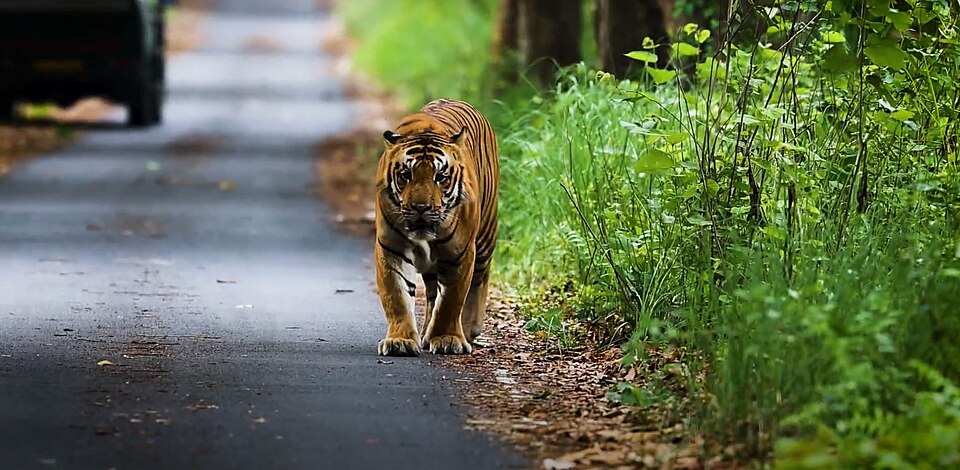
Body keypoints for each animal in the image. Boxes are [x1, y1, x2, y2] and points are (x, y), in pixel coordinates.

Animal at [374, 99, 499, 356]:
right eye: (406, 175)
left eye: (440, 177)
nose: (421, 207)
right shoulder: (390, 249)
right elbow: (396, 297)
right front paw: (400, 341)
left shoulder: (460, 253)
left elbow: (452, 300)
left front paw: (447, 339)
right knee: (432, 292)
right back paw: (425, 334)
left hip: (485, 238)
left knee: (480, 279)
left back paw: (469, 329)